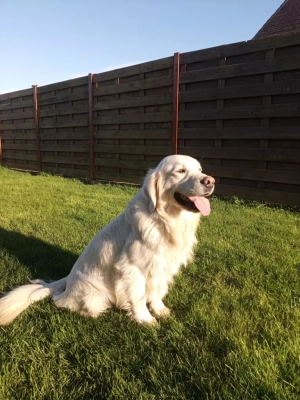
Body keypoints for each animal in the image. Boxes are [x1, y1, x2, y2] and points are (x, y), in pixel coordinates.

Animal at [0, 155, 214, 326]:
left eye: (200, 170)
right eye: (180, 171)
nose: (210, 181)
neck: (164, 220)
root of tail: (68, 280)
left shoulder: (163, 266)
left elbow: (158, 291)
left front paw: (159, 309)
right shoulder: (132, 267)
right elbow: (139, 296)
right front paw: (145, 319)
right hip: (93, 296)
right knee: (59, 301)